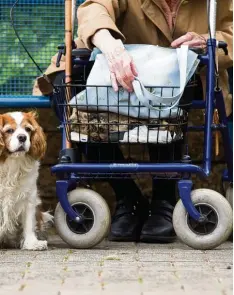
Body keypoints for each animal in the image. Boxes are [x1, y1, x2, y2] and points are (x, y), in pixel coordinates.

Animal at [0, 112, 52, 251]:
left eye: (28, 129)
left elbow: (28, 222)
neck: (13, 163)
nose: (22, 137)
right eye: (9, 131)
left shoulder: (29, 197)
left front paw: (32, 243)